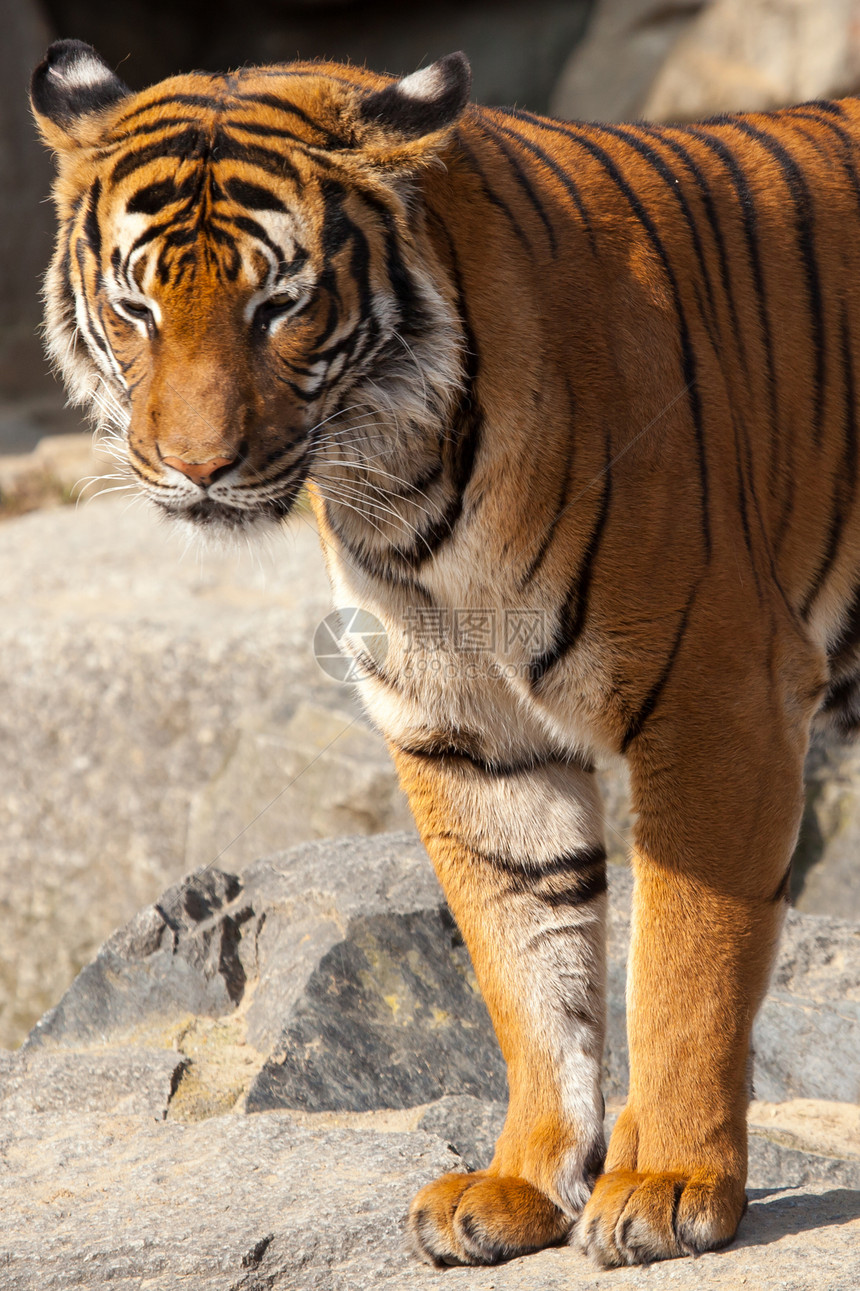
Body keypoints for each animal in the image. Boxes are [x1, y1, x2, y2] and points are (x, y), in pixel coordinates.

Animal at [30, 35, 852, 1265]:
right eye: (135, 307)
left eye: (280, 305)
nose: (197, 468)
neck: (402, 477)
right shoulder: (466, 726)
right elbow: (526, 965)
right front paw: (519, 1183)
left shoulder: (718, 693)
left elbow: (682, 963)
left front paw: (666, 1183)